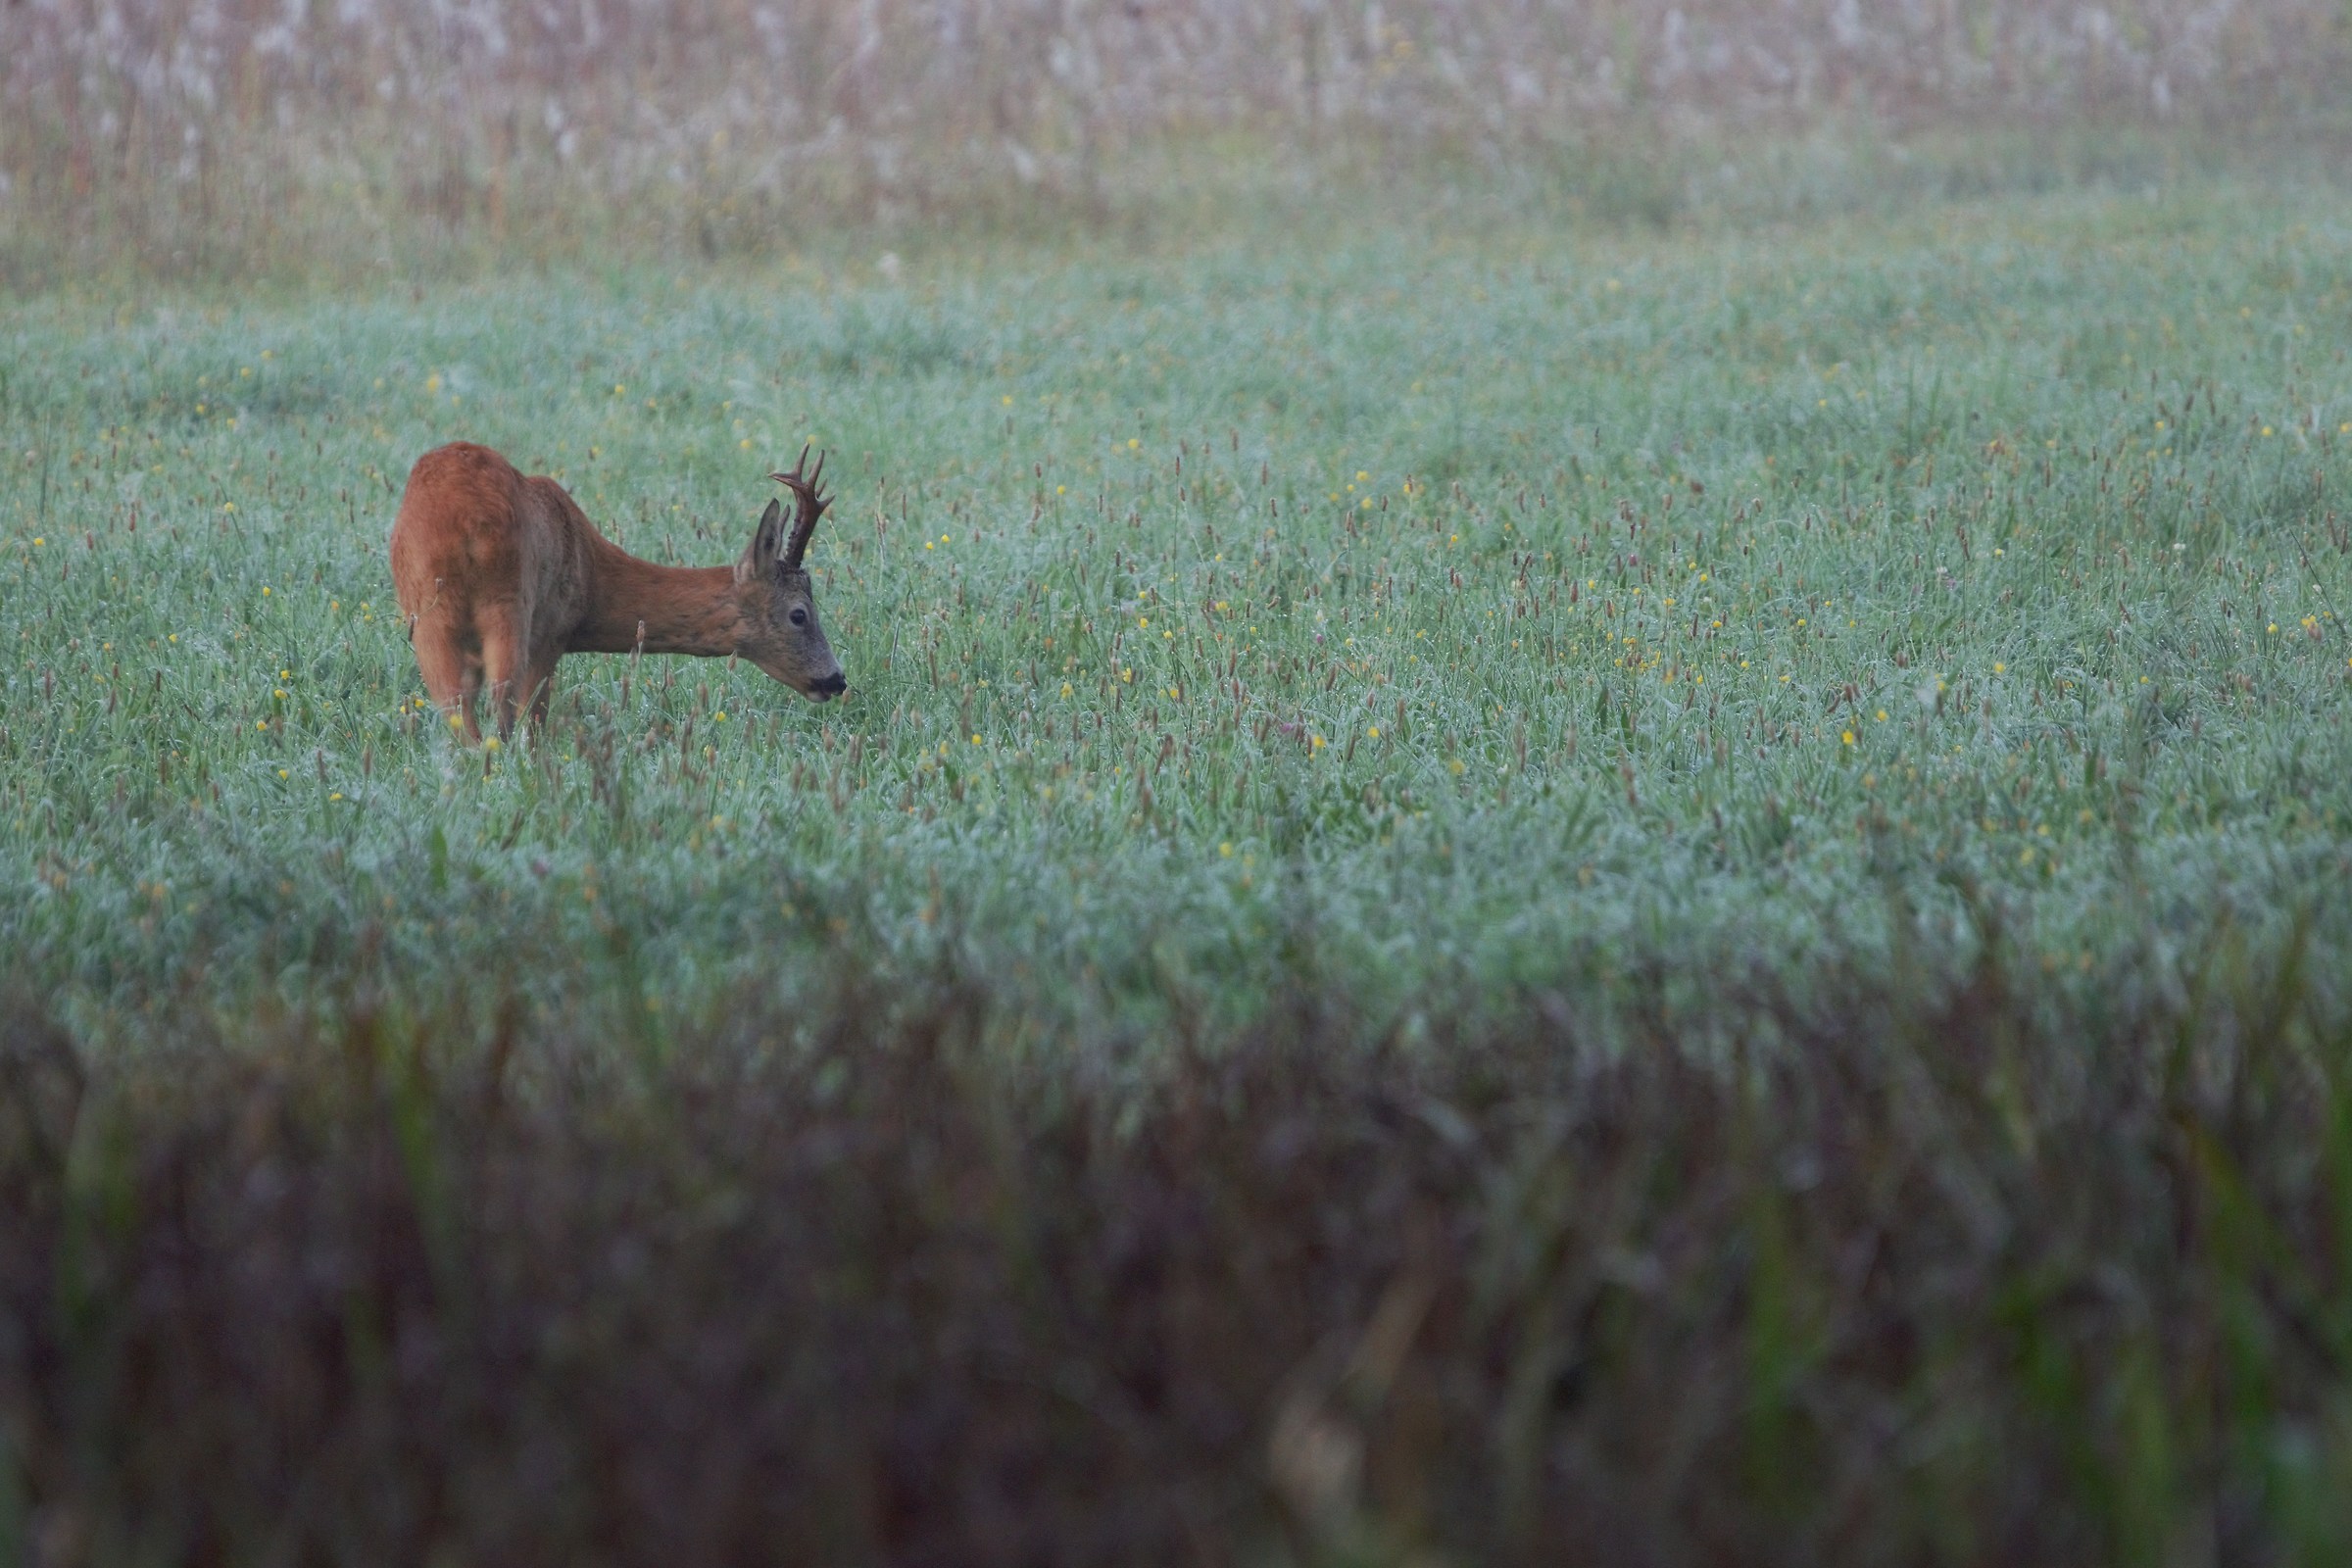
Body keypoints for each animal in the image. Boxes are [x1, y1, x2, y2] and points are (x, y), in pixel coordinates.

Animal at [392, 439, 847, 738]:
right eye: (799, 614)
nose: (836, 680)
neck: (593, 576)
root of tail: (465, 523)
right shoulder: (550, 635)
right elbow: (532, 726)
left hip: (428, 617)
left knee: (459, 720)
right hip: (508, 607)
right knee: (498, 720)